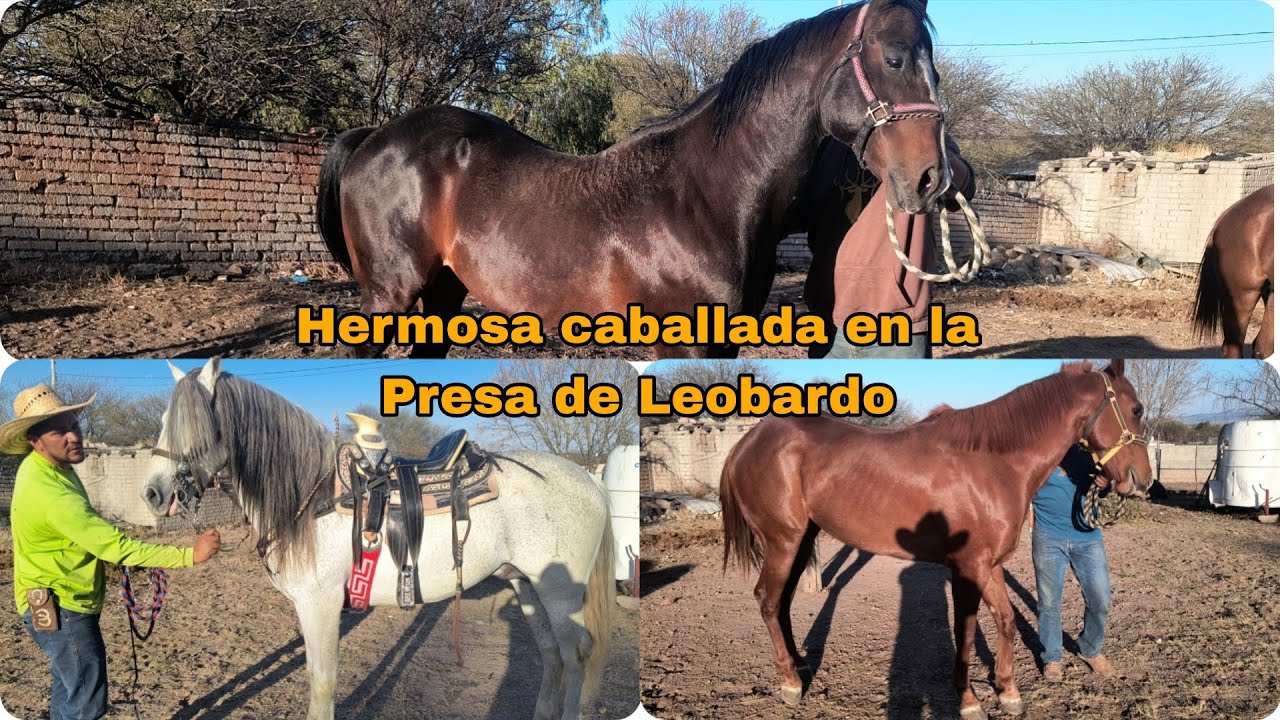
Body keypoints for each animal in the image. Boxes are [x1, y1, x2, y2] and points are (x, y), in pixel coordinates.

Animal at [140, 358, 616, 720]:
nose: (152, 493)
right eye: (162, 422)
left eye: (194, 426)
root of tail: (588, 483)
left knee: (575, 655)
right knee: (552, 654)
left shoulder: (321, 604)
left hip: (559, 592)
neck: (312, 497)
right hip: (524, 582)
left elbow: (323, 683)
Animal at [317, 0, 949, 359]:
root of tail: (373, 137)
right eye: (895, 58)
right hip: (389, 298)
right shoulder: (688, 341)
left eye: (935, 68)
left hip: (444, 294)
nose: (930, 179)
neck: (705, 193)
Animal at [720, 359, 1152, 719]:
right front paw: (969, 701)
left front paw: (1008, 691)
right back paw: (790, 684)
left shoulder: (990, 565)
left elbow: (1006, 620)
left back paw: (800, 664)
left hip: (802, 540)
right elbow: (965, 631)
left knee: (783, 601)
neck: (994, 463)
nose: (1142, 480)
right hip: (783, 540)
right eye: (1136, 410)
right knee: (768, 599)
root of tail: (747, 442)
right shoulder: (968, 567)